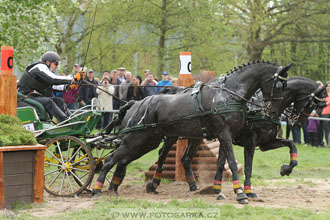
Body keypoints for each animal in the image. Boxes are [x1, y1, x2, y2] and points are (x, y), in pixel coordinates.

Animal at [92, 60, 292, 203]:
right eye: (279, 86)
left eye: (286, 87)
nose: (273, 112)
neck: (228, 95)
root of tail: (136, 103)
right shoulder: (225, 134)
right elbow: (232, 164)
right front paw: (240, 194)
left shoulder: (226, 137)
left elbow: (224, 163)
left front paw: (223, 191)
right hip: (135, 140)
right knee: (111, 160)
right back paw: (97, 189)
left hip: (146, 142)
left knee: (122, 160)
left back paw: (115, 188)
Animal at [148, 78, 326, 202]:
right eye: (311, 104)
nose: (298, 123)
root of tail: (179, 90)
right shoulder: (250, 142)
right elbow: (247, 167)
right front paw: (246, 191)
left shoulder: (266, 143)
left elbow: (291, 145)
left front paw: (286, 169)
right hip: (174, 134)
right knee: (163, 153)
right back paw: (154, 183)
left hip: (196, 136)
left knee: (185, 158)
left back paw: (192, 185)